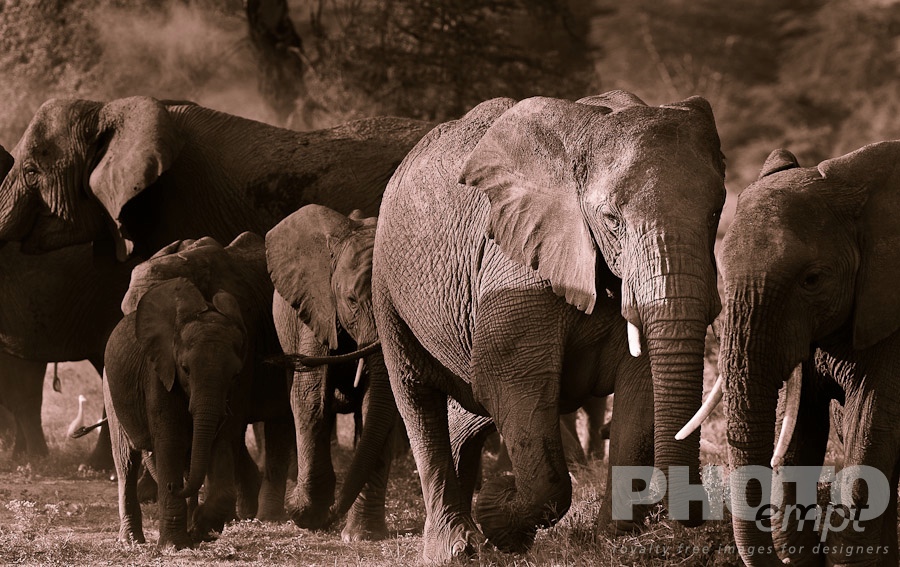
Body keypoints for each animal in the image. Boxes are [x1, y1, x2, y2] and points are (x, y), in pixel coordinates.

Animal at [266, 204, 399, 542]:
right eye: (351, 300)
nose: (290, 505)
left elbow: (379, 406)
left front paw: (360, 536)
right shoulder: (317, 307)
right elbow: (310, 397)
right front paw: (304, 510)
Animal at [371, 90, 726, 562]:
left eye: (716, 212)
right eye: (612, 219)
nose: (692, 514)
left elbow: (641, 389)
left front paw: (613, 539)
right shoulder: (516, 264)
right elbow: (515, 380)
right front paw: (500, 514)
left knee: (470, 411)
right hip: (387, 286)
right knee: (418, 397)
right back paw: (456, 548)